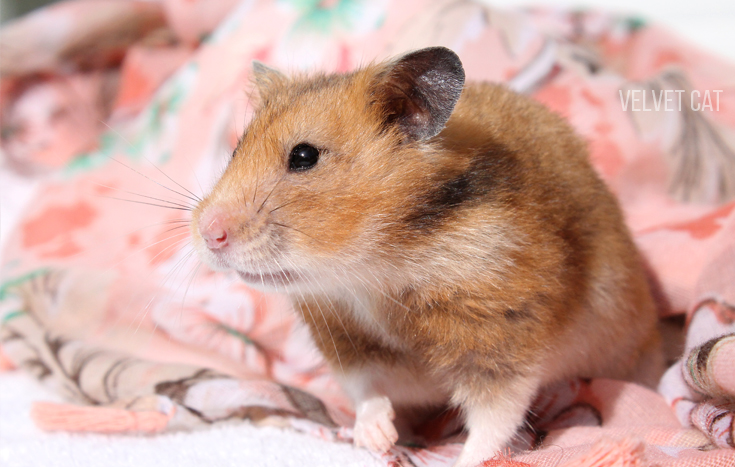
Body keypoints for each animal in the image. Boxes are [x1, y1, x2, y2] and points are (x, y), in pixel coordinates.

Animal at [191, 47, 662, 466]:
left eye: (304, 156)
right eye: (236, 149)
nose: (208, 234)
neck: (372, 270)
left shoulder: (501, 336)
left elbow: (494, 418)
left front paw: (463, 460)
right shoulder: (345, 341)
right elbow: (367, 390)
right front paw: (378, 439)